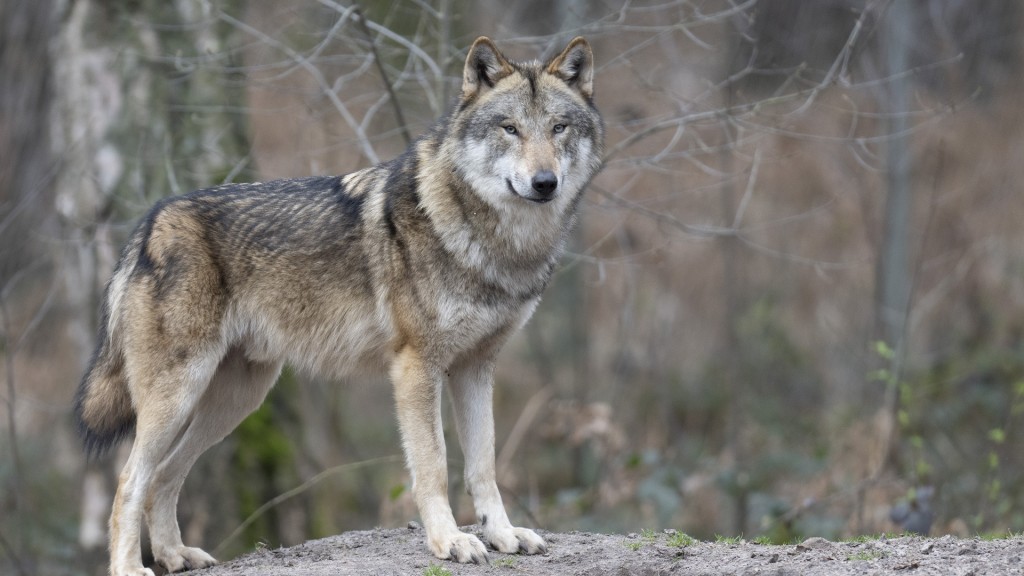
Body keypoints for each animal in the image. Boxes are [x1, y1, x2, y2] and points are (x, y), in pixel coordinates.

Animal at [75, 36, 602, 573]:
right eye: (510, 128)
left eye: (558, 127)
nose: (545, 182)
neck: (497, 244)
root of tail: (149, 223)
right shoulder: (417, 367)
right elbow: (434, 466)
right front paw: (449, 541)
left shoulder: (477, 366)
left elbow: (484, 465)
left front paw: (503, 534)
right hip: (180, 395)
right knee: (129, 482)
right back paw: (131, 566)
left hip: (236, 401)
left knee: (164, 476)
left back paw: (175, 554)